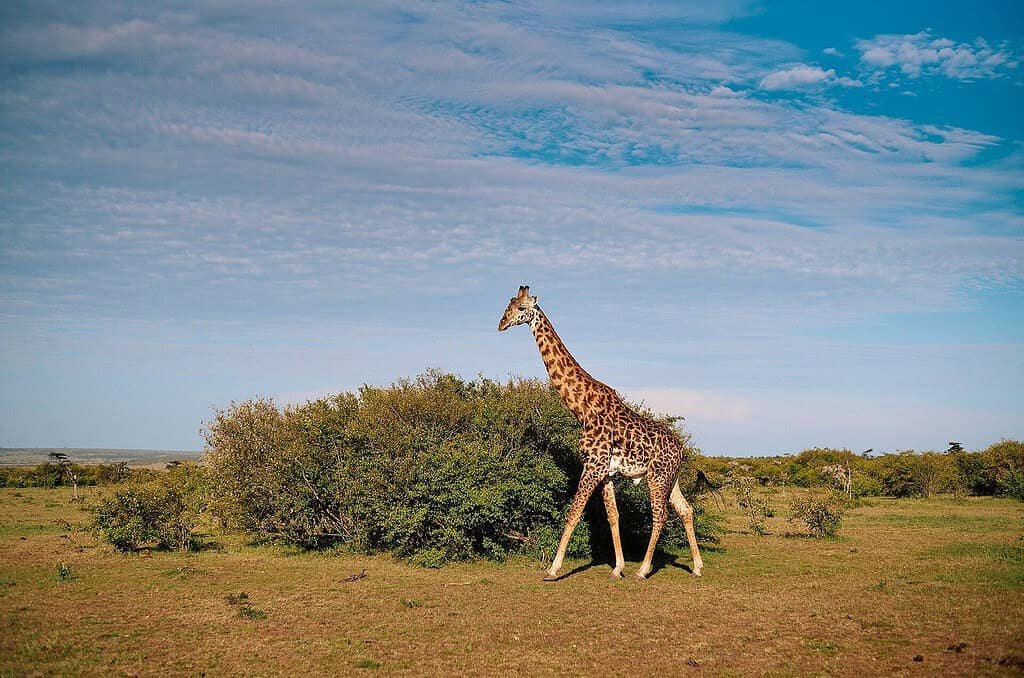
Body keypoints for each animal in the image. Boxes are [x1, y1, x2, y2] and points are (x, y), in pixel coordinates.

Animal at [498, 285, 704, 580]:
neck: (582, 408)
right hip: (670, 477)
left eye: (521, 308)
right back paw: (697, 566)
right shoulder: (605, 472)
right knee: (686, 509)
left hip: (657, 477)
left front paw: (553, 569)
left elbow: (573, 512)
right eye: (509, 305)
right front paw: (617, 568)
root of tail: (681, 449)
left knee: (660, 515)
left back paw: (644, 569)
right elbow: (613, 517)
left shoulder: (593, 465)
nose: (501, 324)